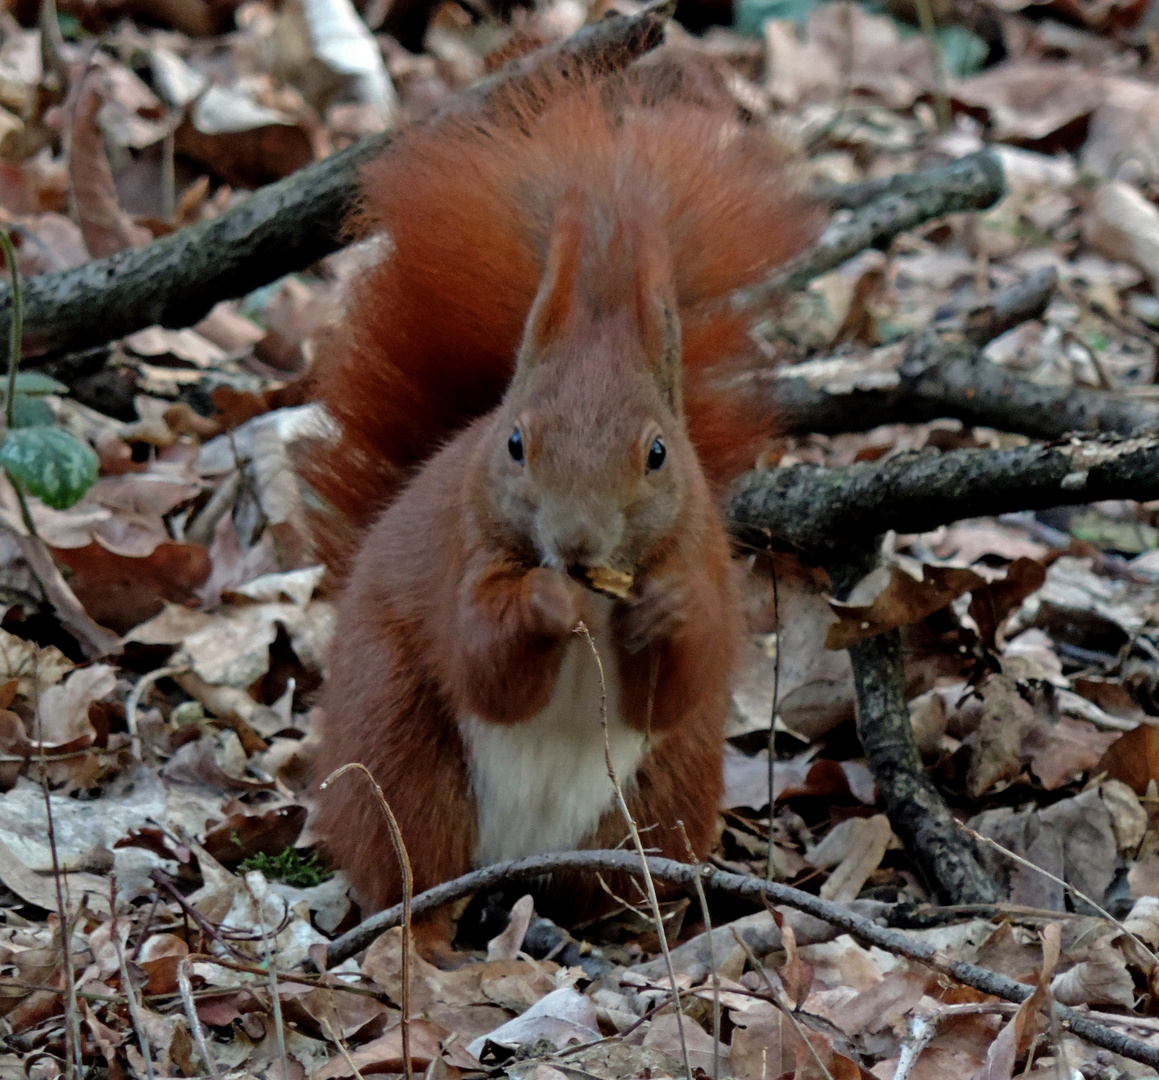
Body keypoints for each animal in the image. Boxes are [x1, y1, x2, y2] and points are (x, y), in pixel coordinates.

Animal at [303, 54, 820, 922]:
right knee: (408, 869)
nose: (576, 544)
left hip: (662, 797)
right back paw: (422, 936)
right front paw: (544, 601)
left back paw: (633, 929)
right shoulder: (463, 553)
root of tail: (518, 860)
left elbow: (681, 678)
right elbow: (483, 659)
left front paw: (667, 610)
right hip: (397, 753)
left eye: (658, 453)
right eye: (514, 443)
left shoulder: (704, 556)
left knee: (616, 883)